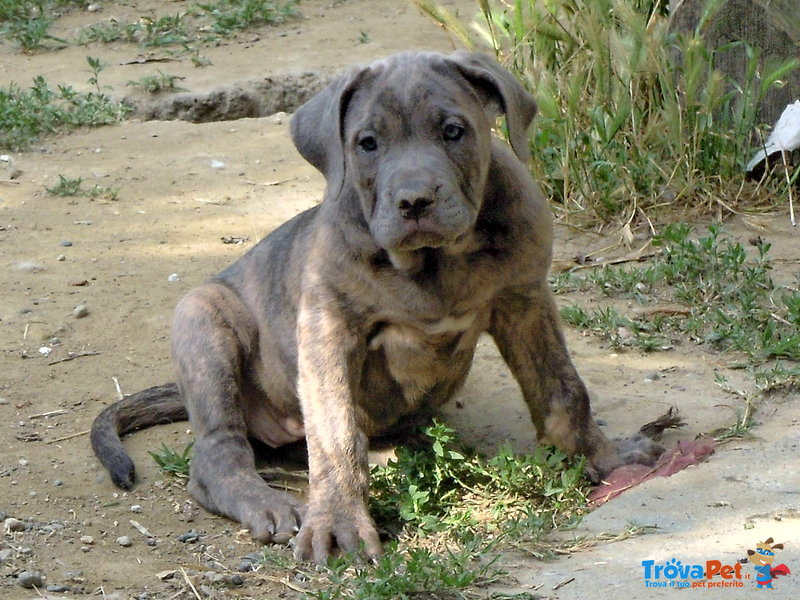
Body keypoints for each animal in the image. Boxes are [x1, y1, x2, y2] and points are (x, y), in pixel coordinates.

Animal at [89, 50, 664, 564]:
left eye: (453, 131)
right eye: (367, 143)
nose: (414, 200)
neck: (435, 263)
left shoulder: (525, 301)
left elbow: (564, 392)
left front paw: (607, 458)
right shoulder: (328, 331)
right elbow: (336, 435)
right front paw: (339, 522)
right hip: (203, 316)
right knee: (219, 455)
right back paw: (267, 502)